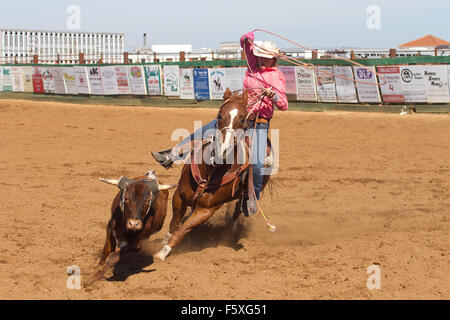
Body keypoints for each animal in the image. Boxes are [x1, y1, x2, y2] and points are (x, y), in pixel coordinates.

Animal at [156, 88, 270, 260]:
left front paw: (163, 252)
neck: (212, 170)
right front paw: (164, 241)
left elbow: (182, 231)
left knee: (238, 210)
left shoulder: (206, 210)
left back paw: (231, 232)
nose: (223, 150)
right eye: (219, 115)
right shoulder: (179, 196)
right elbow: (174, 224)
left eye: (243, 119)